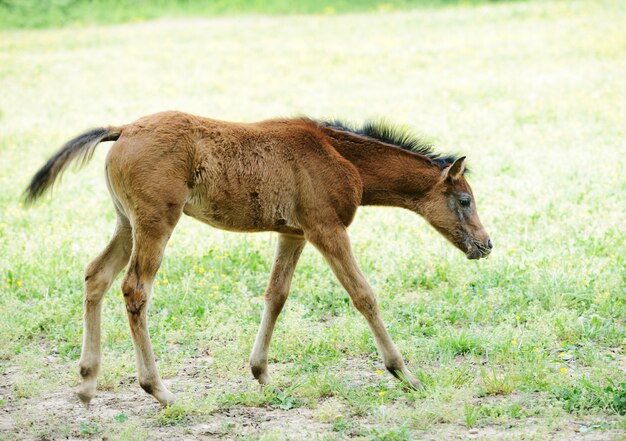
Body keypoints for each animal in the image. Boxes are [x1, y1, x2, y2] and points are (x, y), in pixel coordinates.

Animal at [26, 111, 490, 408]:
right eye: (465, 200)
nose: (485, 245)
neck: (339, 156)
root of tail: (121, 130)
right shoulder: (326, 229)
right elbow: (363, 295)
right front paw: (404, 374)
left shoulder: (293, 233)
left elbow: (276, 295)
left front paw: (261, 372)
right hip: (156, 222)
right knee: (134, 289)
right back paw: (158, 389)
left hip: (127, 222)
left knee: (97, 276)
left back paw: (87, 385)